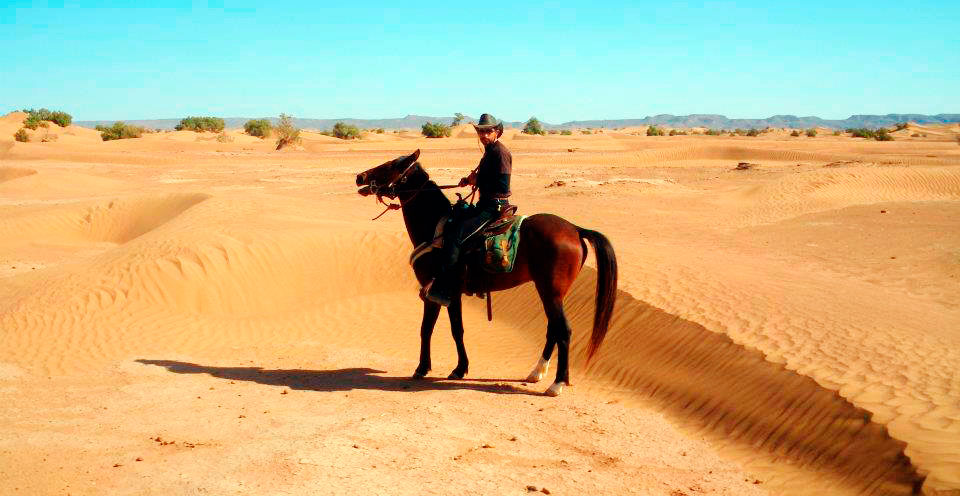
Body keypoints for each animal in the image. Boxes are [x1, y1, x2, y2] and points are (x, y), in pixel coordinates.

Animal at [356, 149, 620, 398]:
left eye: (391, 165)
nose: (361, 177)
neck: (435, 229)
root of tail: (575, 229)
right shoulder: (452, 294)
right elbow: (457, 330)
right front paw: (460, 369)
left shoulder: (432, 292)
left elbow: (426, 329)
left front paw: (422, 368)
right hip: (548, 292)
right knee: (553, 328)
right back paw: (536, 373)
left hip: (551, 292)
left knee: (563, 330)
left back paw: (557, 384)